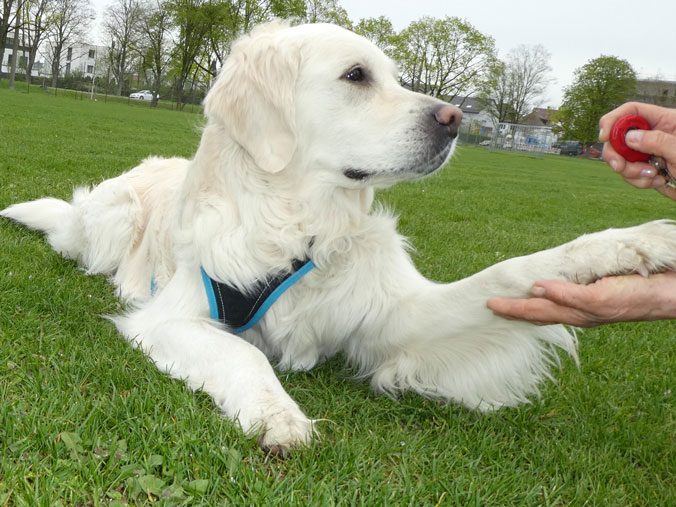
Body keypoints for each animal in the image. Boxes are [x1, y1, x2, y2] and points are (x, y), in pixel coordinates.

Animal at [3, 21, 676, 454]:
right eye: (356, 75)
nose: (456, 118)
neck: (303, 226)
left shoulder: (396, 322)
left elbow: (508, 272)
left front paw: (633, 245)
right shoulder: (172, 317)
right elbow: (245, 353)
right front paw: (277, 414)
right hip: (105, 224)